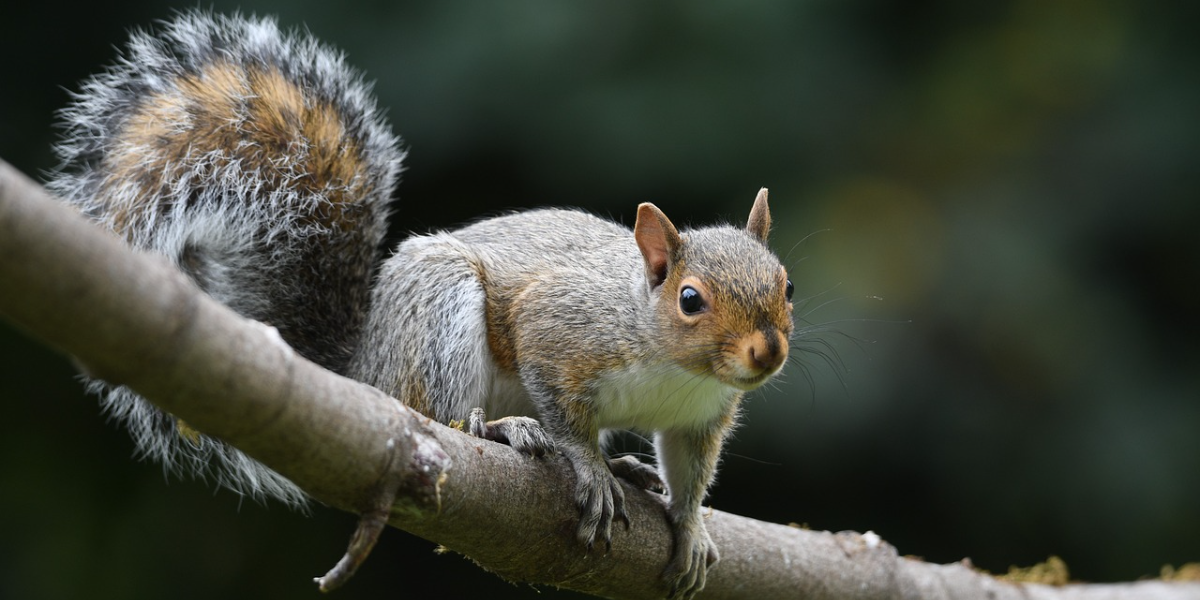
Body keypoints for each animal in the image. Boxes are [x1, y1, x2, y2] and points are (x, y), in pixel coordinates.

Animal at [49, 10, 796, 600]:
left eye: (786, 285)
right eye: (690, 299)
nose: (767, 351)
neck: (675, 366)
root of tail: (364, 372)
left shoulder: (702, 417)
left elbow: (691, 470)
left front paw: (689, 524)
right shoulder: (562, 329)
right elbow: (562, 407)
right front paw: (587, 466)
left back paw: (621, 464)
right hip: (440, 314)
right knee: (441, 416)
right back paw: (508, 432)